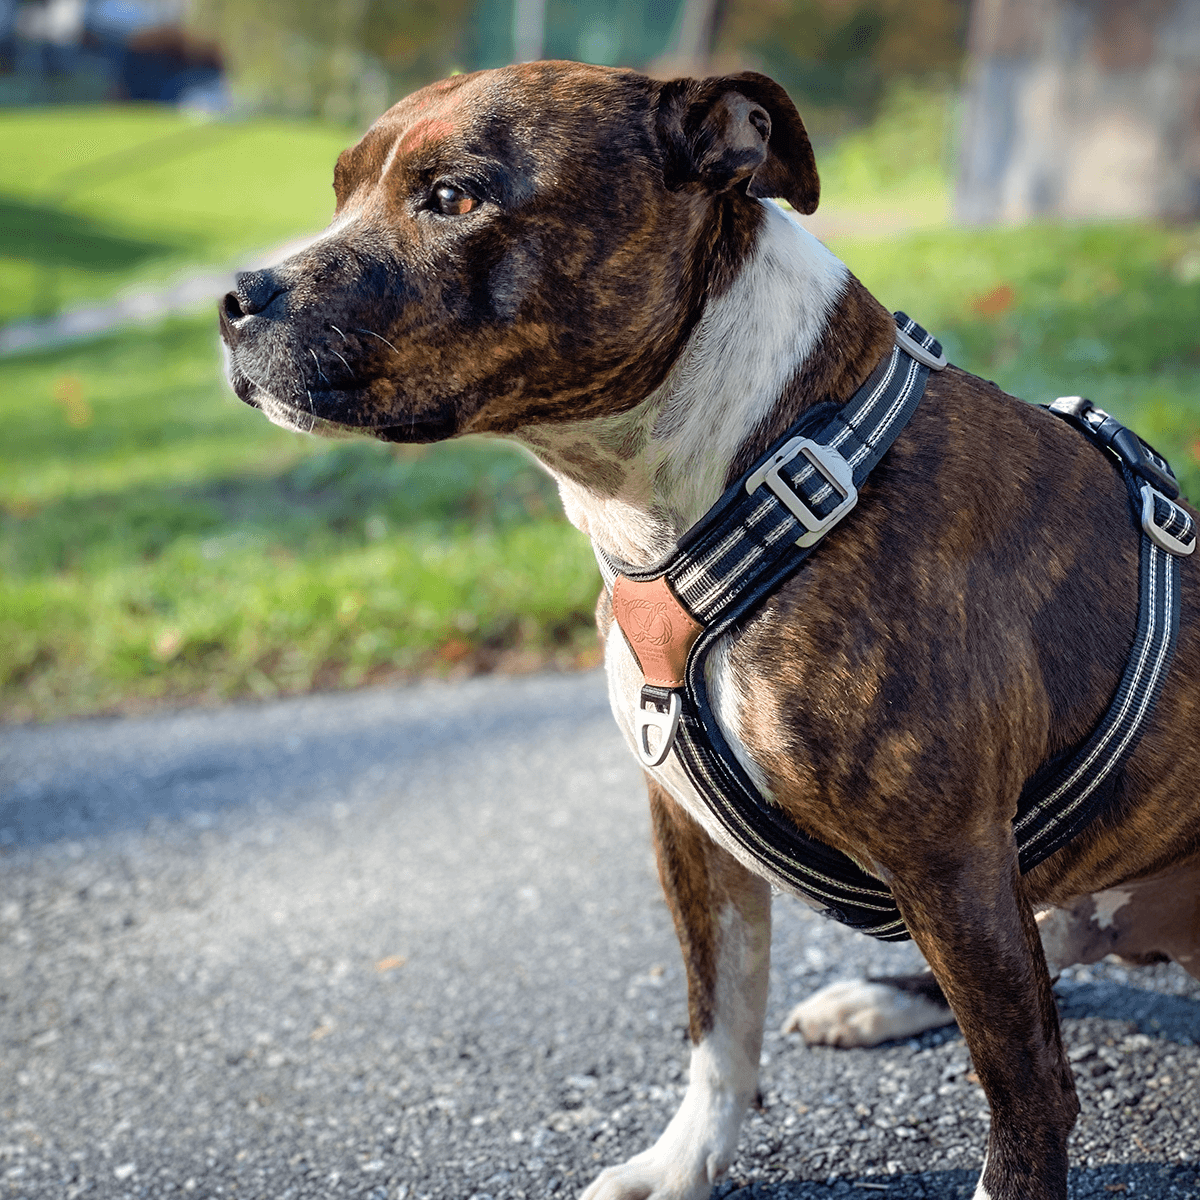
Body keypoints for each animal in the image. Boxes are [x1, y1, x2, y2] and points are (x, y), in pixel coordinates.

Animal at [220, 63, 1200, 1200]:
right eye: (340, 189)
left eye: (453, 198)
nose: (236, 298)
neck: (755, 473)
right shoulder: (690, 831)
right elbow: (720, 1023)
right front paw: (683, 1164)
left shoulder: (948, 856)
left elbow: (1024, 1084)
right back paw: (882, 997)